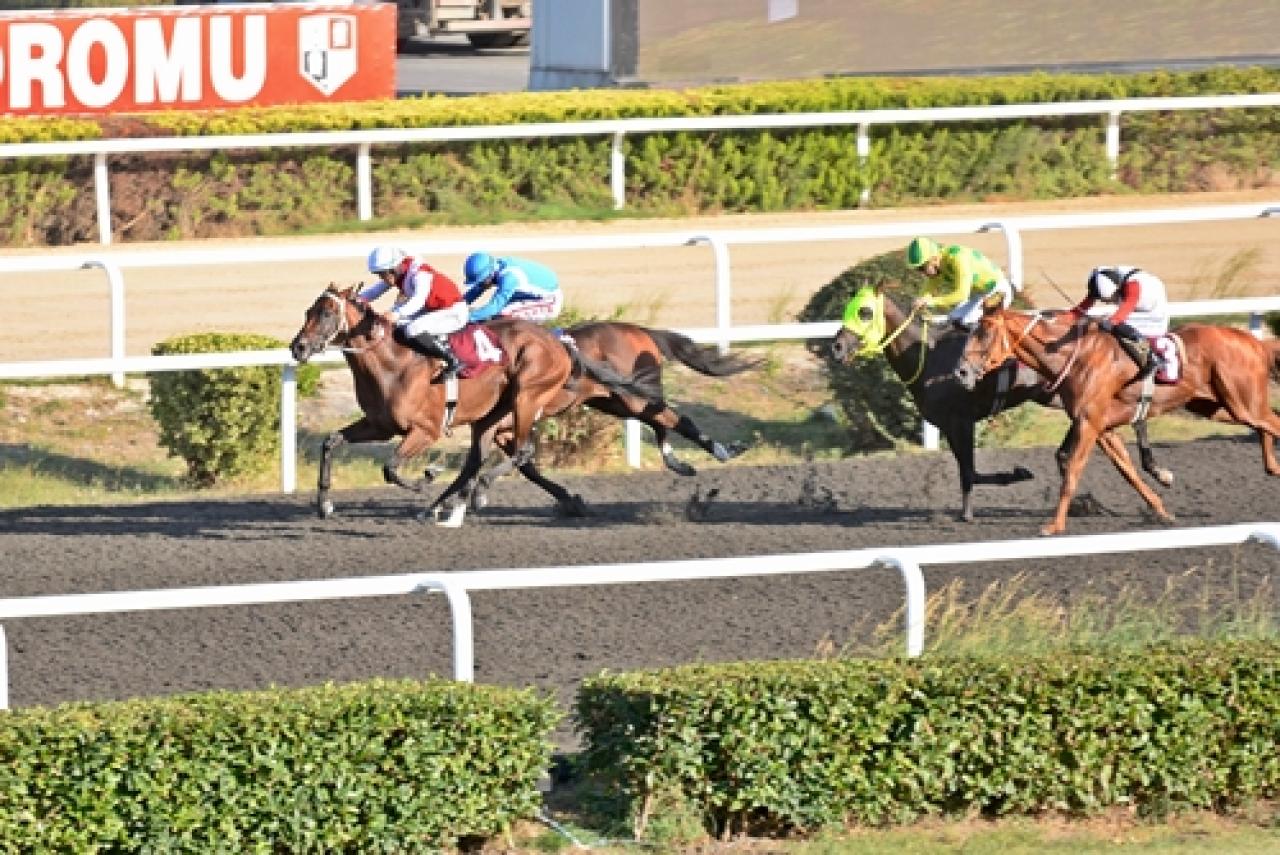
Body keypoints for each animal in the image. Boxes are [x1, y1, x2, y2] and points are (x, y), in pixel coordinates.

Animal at [288, 285, 660, 522]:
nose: (298, 347)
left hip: (527, 396)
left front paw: (426, 477)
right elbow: (330, 442)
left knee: (521, 452)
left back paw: (474, 493)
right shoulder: (379, 425)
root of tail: (560, 343)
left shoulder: (425, 430)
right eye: (308, 311)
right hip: (492, 414)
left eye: (327, 313)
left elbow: (390, 468)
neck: (393, 363)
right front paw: (324, 505)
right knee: (487, 460)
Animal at [830, 284, 1170, 522]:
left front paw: (1008, 481)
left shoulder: (961, 422)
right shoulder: (951, 425)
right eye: (847, 308)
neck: (930, 359)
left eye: (864, 311)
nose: (836, 347)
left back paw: (1154, 470)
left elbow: (970, 472)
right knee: (1094, 438)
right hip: (1059, 396)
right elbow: (967, 471)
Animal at [955, 307, 1280, 535]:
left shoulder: (1089, 423)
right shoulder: (1103, 429)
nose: (961, 371)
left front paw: (1054, 526)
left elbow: (1072, 472)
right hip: (1217, 407)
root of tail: (1255, 342)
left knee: (1271, 422)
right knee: (1268, 422)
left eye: (984, 333)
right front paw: (1162, 511)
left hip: (1242, 404)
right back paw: (1272, 467)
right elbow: (1128, 472)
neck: (1074, 356)